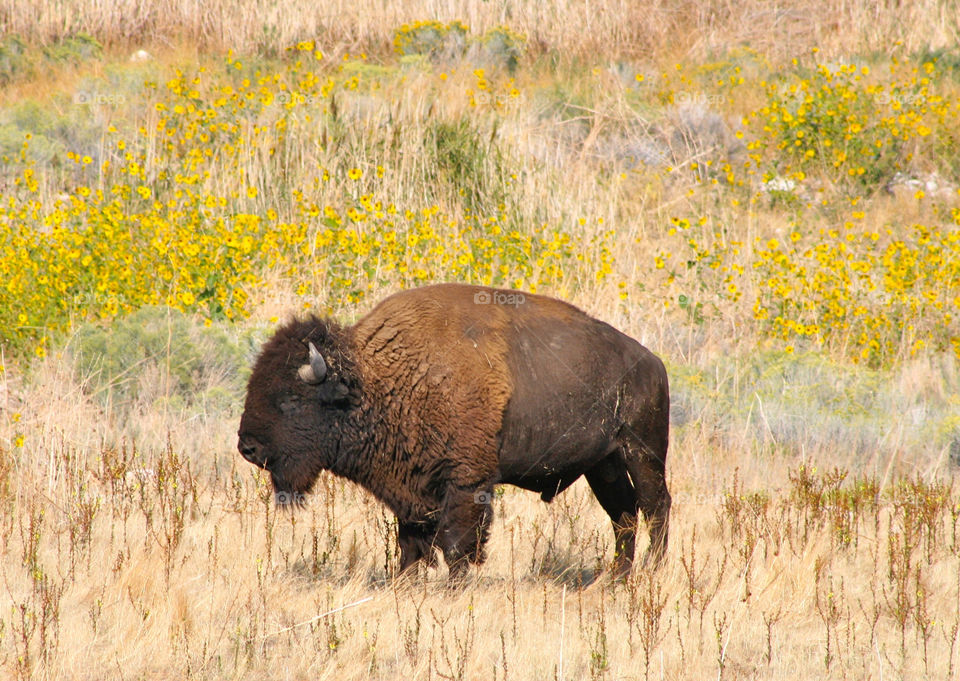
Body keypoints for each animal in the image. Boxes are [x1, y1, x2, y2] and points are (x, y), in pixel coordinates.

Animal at [237, 284, 672, 576]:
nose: (248, 447)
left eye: (290, 400)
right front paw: (405, 583)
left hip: (642, 453)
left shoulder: (466, 481)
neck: (375, 379)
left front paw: (455, 587)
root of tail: (653, 362)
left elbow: (457, 542)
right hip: (603, 465)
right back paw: (615, 580)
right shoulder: (409, 487)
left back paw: (651, 572)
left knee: (655, 506)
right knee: (623, 514)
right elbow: (411, 544)